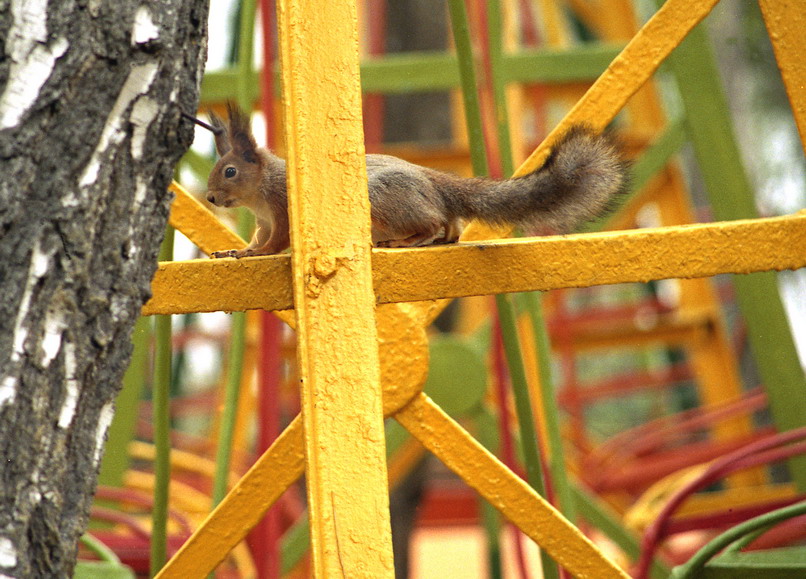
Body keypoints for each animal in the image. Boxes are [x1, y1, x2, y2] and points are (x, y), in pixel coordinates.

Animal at [205, 103, 628, 258]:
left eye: (230, 171)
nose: (209, 198)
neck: (260, 192)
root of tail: (436, 184)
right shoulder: (263, 218)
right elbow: (260, 236)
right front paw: (238, 250)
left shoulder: (282, 207)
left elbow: (278, 241)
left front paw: (255, 254)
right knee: (450, 228)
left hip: (382, 199)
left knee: (433, 223)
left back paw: (405, 240)